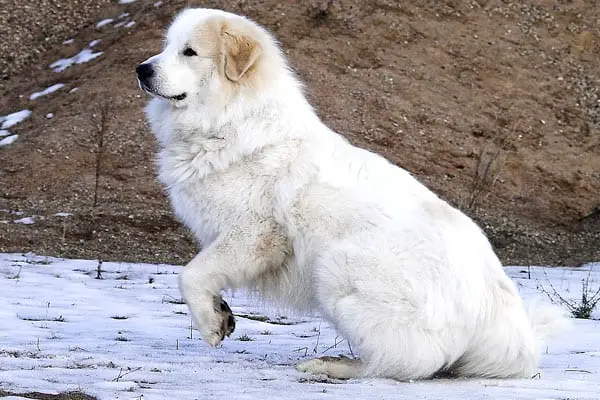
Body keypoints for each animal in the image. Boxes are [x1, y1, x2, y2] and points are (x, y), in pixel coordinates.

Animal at [136, 7, 564, 380]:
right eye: (166, 45)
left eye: (189, 52)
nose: (141, 69)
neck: (232, 121)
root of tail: (500, 318)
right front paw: (221, 312)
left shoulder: (255, 234)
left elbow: (191, 274)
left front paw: (211, 323)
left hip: (336, 266)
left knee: (407, 362)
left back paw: (333, 365)